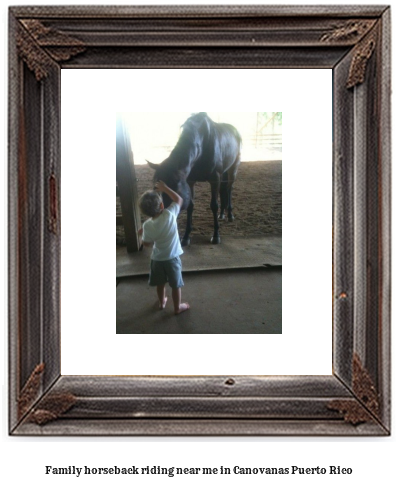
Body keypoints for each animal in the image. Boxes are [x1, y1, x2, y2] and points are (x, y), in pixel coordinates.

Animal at [147, 112, 241, 245]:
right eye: (156, 188)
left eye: (173, 189)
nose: (164, 214)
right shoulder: (190, 181)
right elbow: (191, 206)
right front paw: (186, 236)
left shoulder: (214, 179)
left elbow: (214, 205)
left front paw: (216, 235)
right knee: (223, 190)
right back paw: (222, 214)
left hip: (233, 168)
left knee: (229, 189)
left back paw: (230, 215)